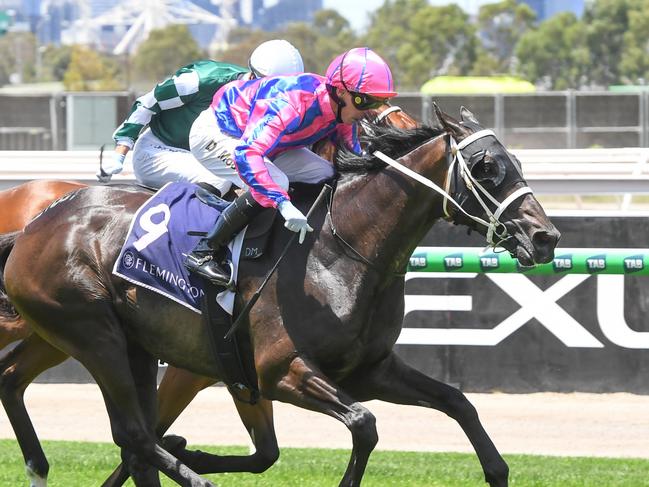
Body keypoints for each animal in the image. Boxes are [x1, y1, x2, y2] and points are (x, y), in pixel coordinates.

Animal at [0, 107, 556, 487]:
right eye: (486, 167)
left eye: (516, 161)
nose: (545, 236)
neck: (338, 248)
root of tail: (33, 225)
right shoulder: (278, 370)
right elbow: (364, 424)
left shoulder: (367, 370)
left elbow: (457, 402)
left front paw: (496, 469)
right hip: (92, 334)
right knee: (134, 435)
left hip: (130, 345)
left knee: (130, 437)